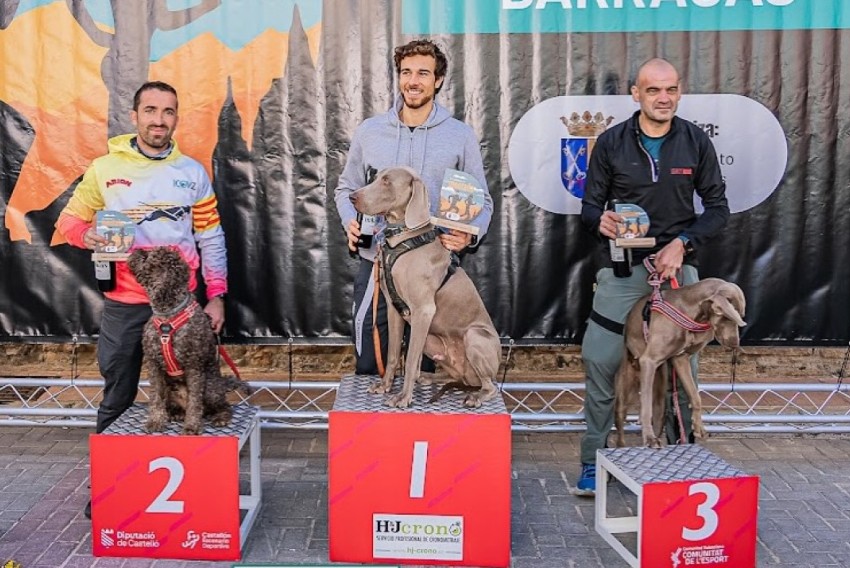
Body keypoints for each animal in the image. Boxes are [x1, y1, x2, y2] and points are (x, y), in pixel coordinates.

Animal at [126, 246, 248, 438]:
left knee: (222, 405)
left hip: (211, 388)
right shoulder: (154, 364)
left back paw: (221, 417)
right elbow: (156, 398)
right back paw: (176, 413)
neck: (168, 316)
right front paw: (155, 421)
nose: (137, 249)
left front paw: (192, 426)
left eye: (148, 257)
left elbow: (195, 402)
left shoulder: (193, 366)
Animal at [350, 164, 500, 408]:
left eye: (387, 181)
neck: (404, 239)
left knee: (490, 386)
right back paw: (428, 377)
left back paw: (475, 396)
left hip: (474, 336)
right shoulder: (394, 309)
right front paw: (384, 385)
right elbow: (393, 355)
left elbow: (410, 360)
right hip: (432, 340)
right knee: (452, 374)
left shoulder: (423, 311)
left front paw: (402, 397)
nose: (352, 196)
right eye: (376, 177)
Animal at [608, 278, 744, 448]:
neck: (689, 312)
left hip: (660, 393)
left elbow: (695, 396)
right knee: (621, 419)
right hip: (625, 387)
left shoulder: (681, 359)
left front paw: (698, 427)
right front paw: (649, 438)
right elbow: (645, 406)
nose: (735, 344)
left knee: (658, 414)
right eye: (728, 317)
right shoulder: (649, 361)